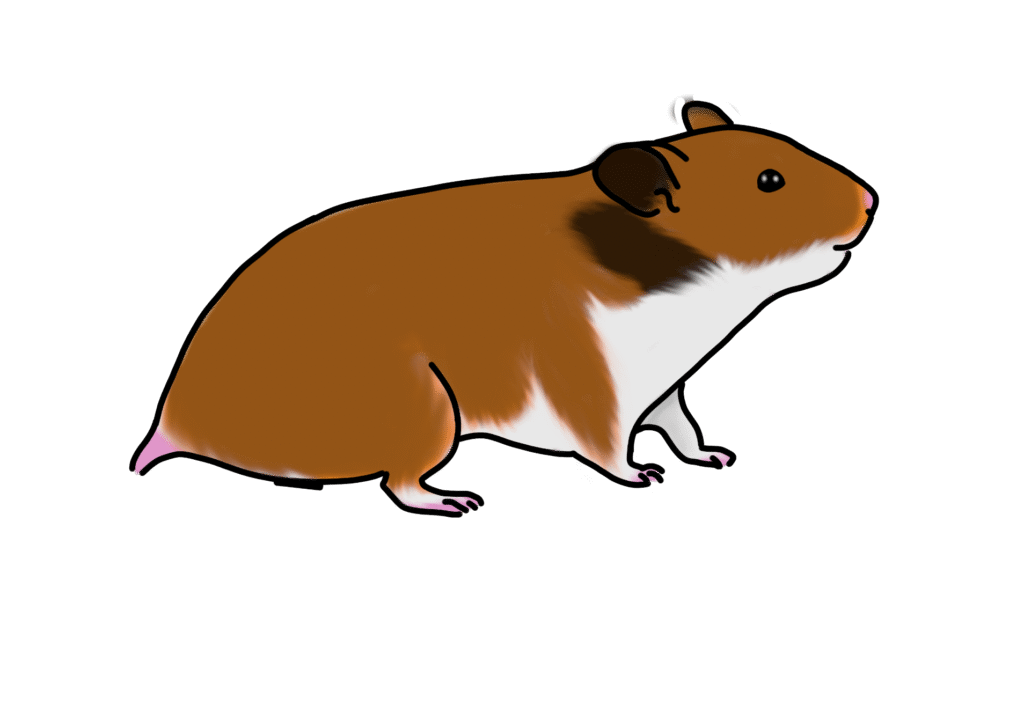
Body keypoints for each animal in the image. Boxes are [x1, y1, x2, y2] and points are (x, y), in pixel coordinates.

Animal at [131, 100, 879, 516]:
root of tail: (172, 423)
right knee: (401, 484)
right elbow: (610, 447)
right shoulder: (590, 383)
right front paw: (645, 475)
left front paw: (715, 457)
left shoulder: (666, 387)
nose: (872, 201)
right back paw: (456, 501)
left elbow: (685, 429)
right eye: (769, 181)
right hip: (429, 410)